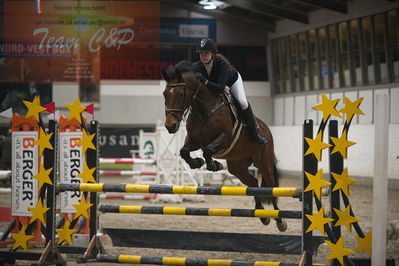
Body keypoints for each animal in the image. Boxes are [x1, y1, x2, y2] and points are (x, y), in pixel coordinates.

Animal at [162, 60, 288, 231]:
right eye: (165, 94)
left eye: (181, 94)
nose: (171, 126)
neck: (203, 110)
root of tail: (266, 129)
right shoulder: (194, 140)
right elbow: (184, 151)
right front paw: (197, 162)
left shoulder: (225, 137)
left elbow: (208, 150)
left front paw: (213, 165)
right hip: (238, 166)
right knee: (253, 183)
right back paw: (262, 215)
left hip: (264, 162)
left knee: (270, 186)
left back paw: (280, 220)